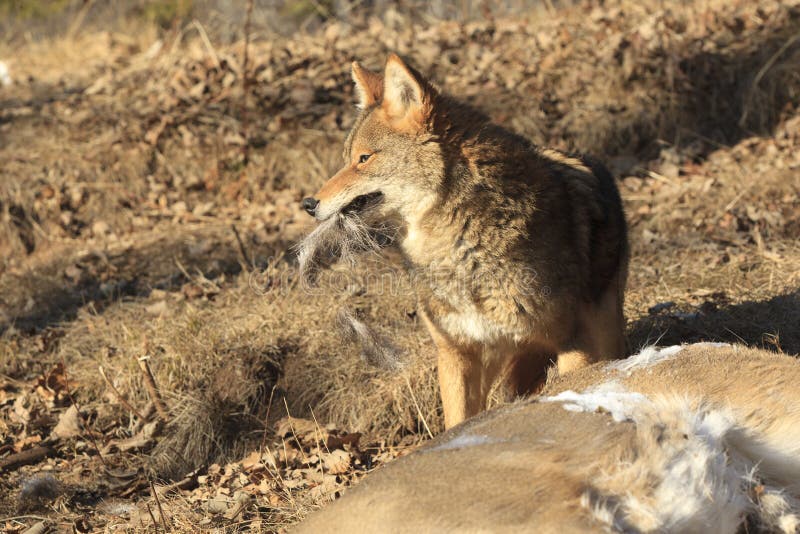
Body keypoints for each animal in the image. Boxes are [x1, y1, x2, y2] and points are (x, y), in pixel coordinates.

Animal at [299, 54, 629, 429]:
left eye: (364, 159)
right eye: (347, 158)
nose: (308, 204)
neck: (461, 247)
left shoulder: (572, 342)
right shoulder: (456, 353)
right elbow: (458, 422)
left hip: (601, 334)